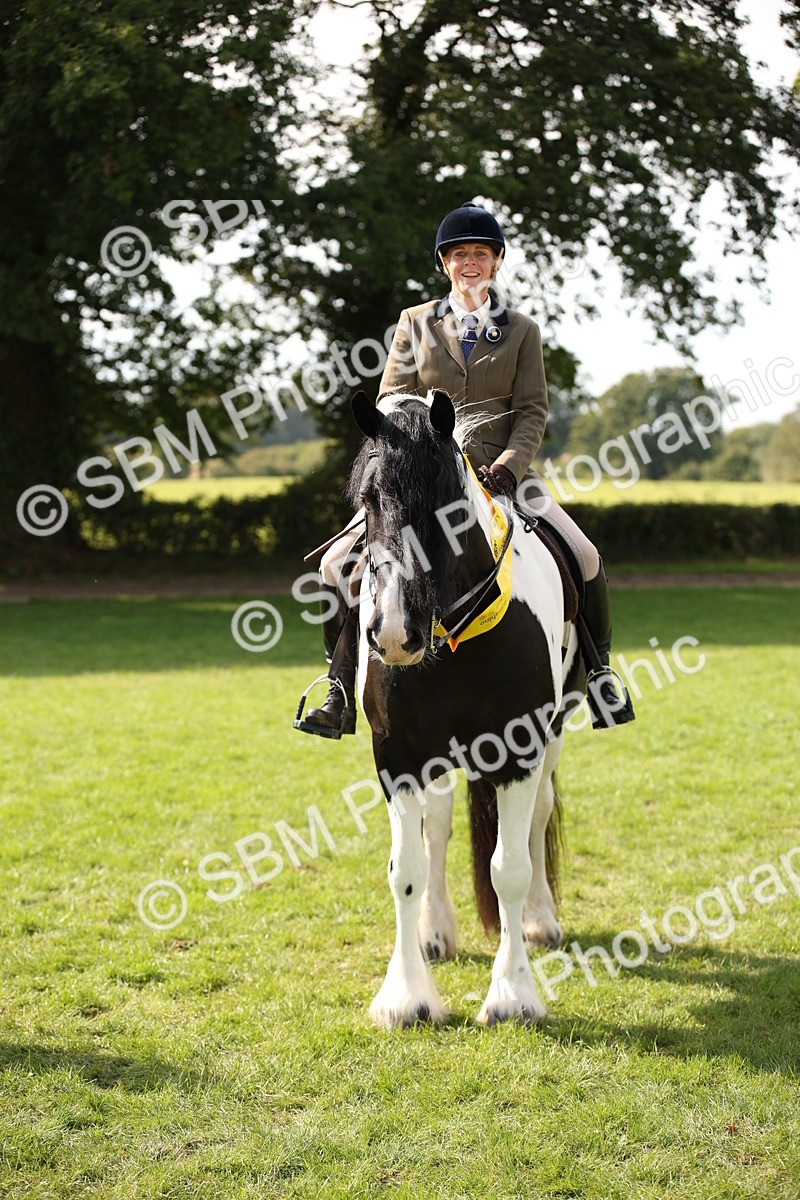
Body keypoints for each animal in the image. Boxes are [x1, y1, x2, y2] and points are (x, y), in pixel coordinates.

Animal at [347, 387, 585, 1028]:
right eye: (368, 500)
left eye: (448, 507)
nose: (394, 633)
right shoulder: (397, 756)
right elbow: (405, 869)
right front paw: (407, 996)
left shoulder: (520, 750)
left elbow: (510, 868)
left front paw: (512, 994)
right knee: (439, 826)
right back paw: (435, 934)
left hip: (551, 739)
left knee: (537, 819)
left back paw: (540, 922)